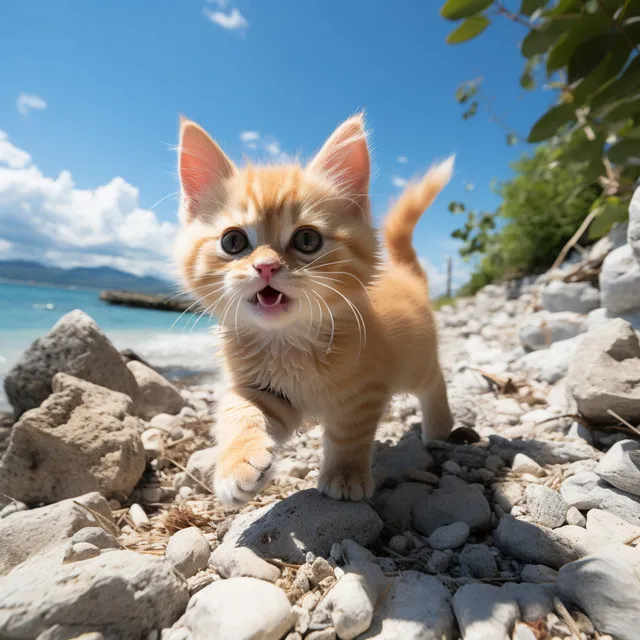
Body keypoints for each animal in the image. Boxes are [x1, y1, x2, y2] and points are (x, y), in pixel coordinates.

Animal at [175, 115, 456, 504]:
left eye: (307, 240)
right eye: (233, 241)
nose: (265, 266)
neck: (288, 341)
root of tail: (404, 273)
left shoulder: (363, 392)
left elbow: (348, 435)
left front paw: (345, 476)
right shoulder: (262, 390)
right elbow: (239, 411)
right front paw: (238, 463)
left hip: (414, 364)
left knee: (435, 379)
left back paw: (440, 426)